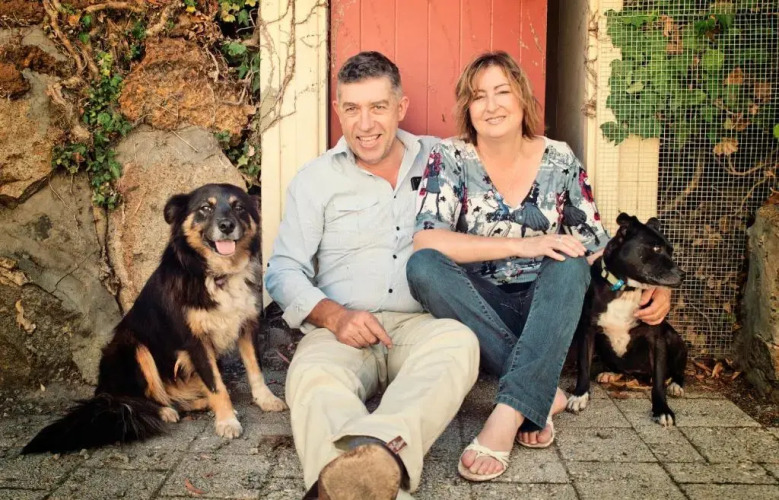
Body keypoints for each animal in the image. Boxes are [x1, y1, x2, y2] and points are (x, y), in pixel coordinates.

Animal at [23, 183, 287, 454]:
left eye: (239, 207)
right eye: (205, 207)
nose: (226, 225)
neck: (216, 274)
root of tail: (103, 395)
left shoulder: (247, 325)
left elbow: (255, 370)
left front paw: (266, 400)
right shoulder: (195, 341)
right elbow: (217, 386)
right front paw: (226, 421)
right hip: (134, 347)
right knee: (136, 402)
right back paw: (164, 411)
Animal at [566, 213, 687, 426]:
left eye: (671, 251)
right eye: (656, 248)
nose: (683, 275)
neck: (626, 289)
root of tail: (636, 373)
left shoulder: (657, 339)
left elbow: (658, 379)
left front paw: (662, 409)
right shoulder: (587, 331)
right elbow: (583, 366)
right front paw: (580, 395)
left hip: (674, 339)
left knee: (678, 371)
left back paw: (675, 385)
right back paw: (610, 373)